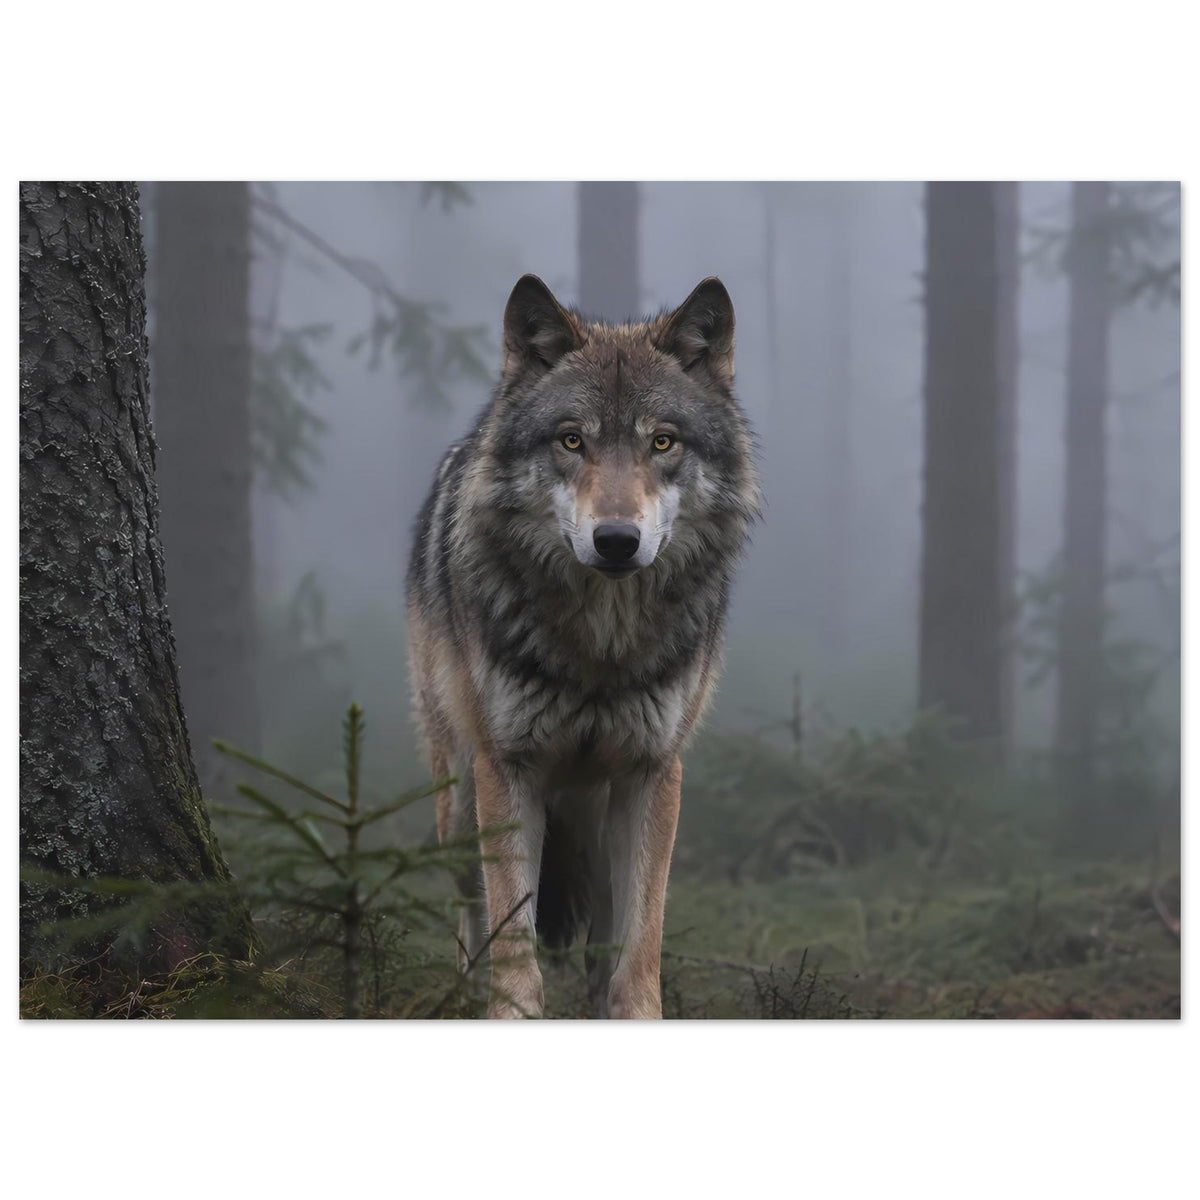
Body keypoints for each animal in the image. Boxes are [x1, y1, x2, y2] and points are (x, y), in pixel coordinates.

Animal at [407, 274, 761, 1018]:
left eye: (663, 443)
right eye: (572, 441)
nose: (617, 541)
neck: (602, 645)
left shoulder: (653, 773)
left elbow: (638, 948)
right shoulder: (507, 769)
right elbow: (514, 943)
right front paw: (508, 1013)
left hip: (595, 819)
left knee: (599, 938)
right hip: (458, 801)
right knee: (469, 918)